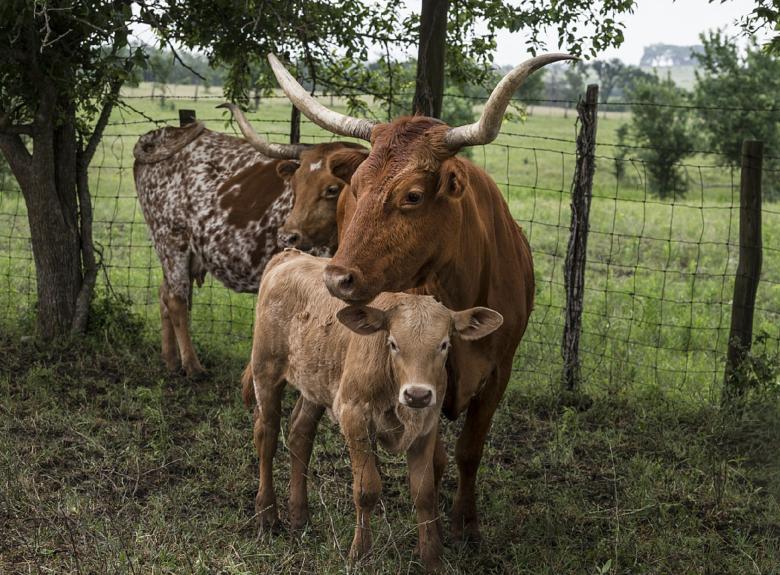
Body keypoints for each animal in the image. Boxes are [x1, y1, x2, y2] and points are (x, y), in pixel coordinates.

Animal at [132, 110, 367, 376]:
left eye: (332, 189)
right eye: (295, 186)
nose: (287, 236)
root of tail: (161, 133)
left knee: (164, 294)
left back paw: (171, 360)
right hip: (171, 240)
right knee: (176, 299)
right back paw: (192, 365)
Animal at [243, 249, 502, 570]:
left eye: (444, 344)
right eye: (393, 343)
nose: (417, 394)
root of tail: (290, 256)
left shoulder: (426, 425)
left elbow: (424, 492)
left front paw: (432, 559)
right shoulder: (354, 416)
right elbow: (366, 489)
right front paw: (360, 554)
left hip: (316, 384)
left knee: (300, 436)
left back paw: (300, 517)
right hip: (266, 371)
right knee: (266, 437)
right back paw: (267, 515)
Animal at [263, 52, 574, 541]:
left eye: (412, 195)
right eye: (356, 188)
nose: (336, 278)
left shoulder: (498, 373)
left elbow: (470, 451)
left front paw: (467, 524)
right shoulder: (423, 377)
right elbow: (440, 459)